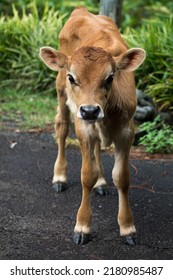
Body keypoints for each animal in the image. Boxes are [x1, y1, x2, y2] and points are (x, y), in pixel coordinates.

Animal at [39, 5, 146, 244]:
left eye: (110, 78)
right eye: (72, 77)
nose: (89, 110)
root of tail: (82, 10)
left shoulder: (126, 131)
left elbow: (122, 177)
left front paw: (127, 227)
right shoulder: (84, 128)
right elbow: (87, 175)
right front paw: (82, 226)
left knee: (97, 148)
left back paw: (101, 182)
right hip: (60, 92)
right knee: (61, 128)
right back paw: (59, 177)